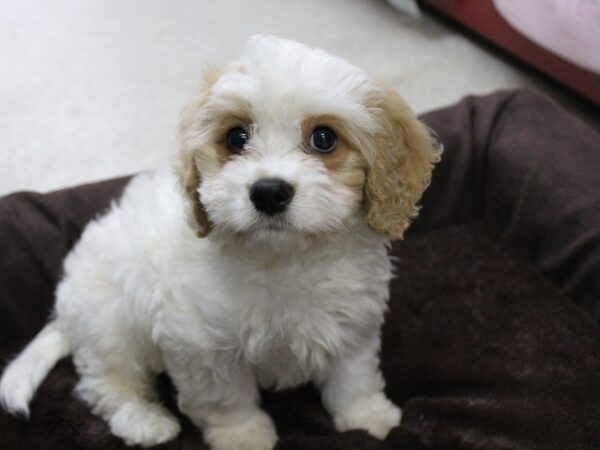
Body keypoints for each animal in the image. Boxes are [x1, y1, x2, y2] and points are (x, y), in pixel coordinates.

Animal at [0, 36, 440, 450]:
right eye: (236, 137)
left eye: (324, 138)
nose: (269, 192)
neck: (283, 259)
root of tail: (66, 310)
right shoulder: (202, 345)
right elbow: (227, 399)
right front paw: (243, 437)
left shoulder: (352, 323)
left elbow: (354, 378)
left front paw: (370, 419)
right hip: (111, 326)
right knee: (106, 383)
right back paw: (144, 421)